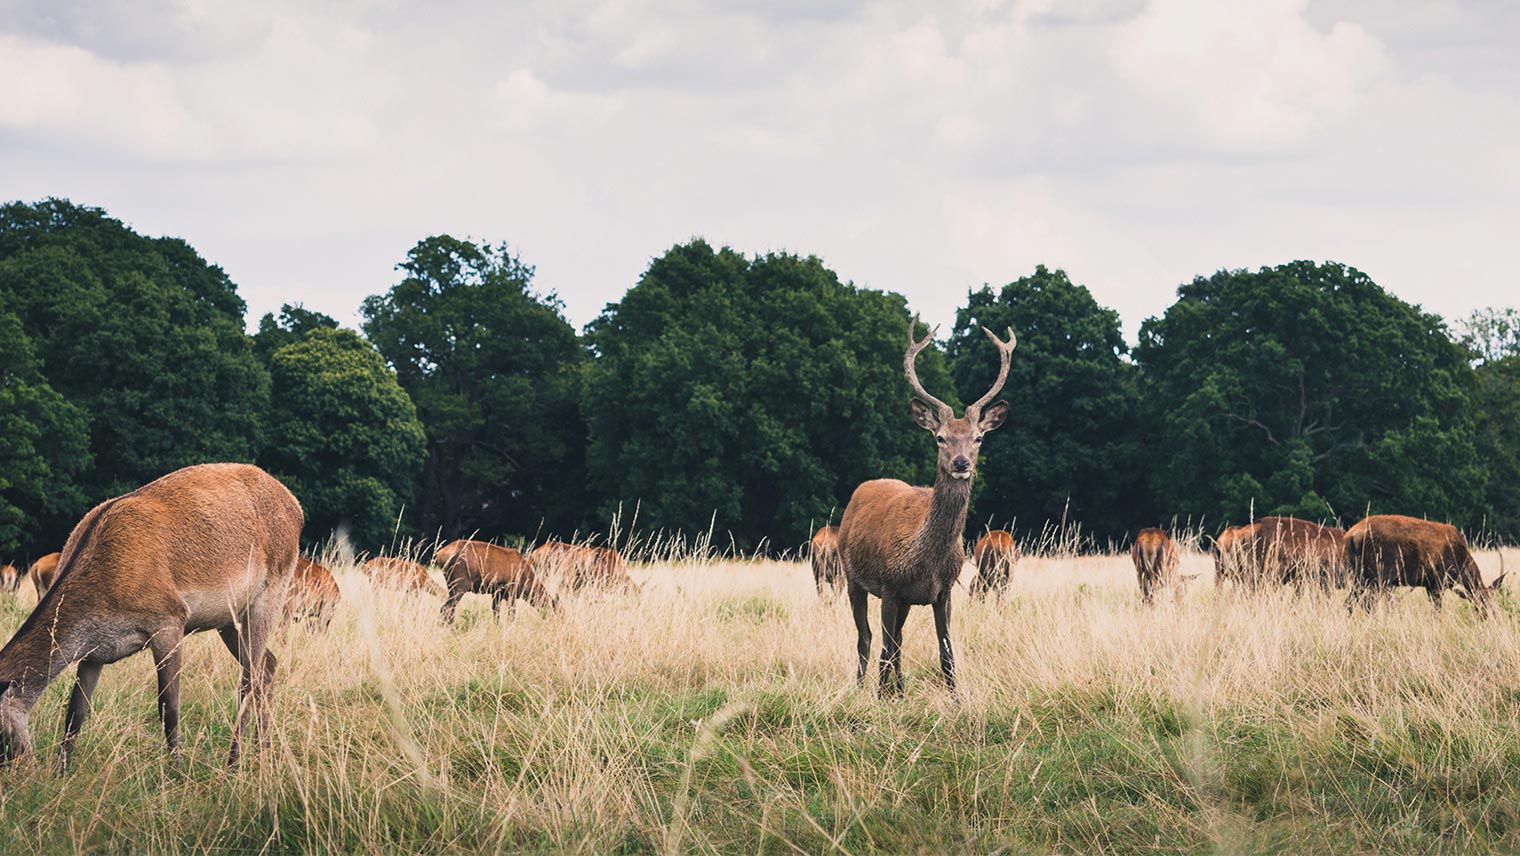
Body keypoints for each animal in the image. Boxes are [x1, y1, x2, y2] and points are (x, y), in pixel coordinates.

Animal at [0, 465, 302, 766]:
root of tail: (296, 506)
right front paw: (61, 768)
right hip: (229, 619)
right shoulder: (94, 653)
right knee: (267, 665)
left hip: (270, 594)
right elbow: (75, 712)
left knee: (249, 680)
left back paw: (233, 762)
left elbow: (169, 707)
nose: (22, 769)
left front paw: (176, 770)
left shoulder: (170, 620)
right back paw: (263, 750)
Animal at [839, 314, 1015, 696]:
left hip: (903, 600)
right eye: (940, 438)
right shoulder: (890, 587)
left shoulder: (943, 592)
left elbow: (946, 653)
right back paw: (861, 688)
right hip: (852, 577)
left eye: (979, 438)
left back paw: (901, 690)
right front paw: (879, 699)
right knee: (866, 638)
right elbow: (884, 648)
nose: (961, 463)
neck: (925, 562)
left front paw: (956, 699)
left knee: (898, 640)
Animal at [1349, 516, 1501, 617]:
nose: (1492, 616)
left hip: (1361, 577)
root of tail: (1352, 535)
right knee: (1366, 604)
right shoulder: (1439, 581)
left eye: (1495, 604)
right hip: (1378, 575)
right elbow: (1436, 612)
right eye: (1482, 603)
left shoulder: (1429, 584)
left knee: (1351, 603)